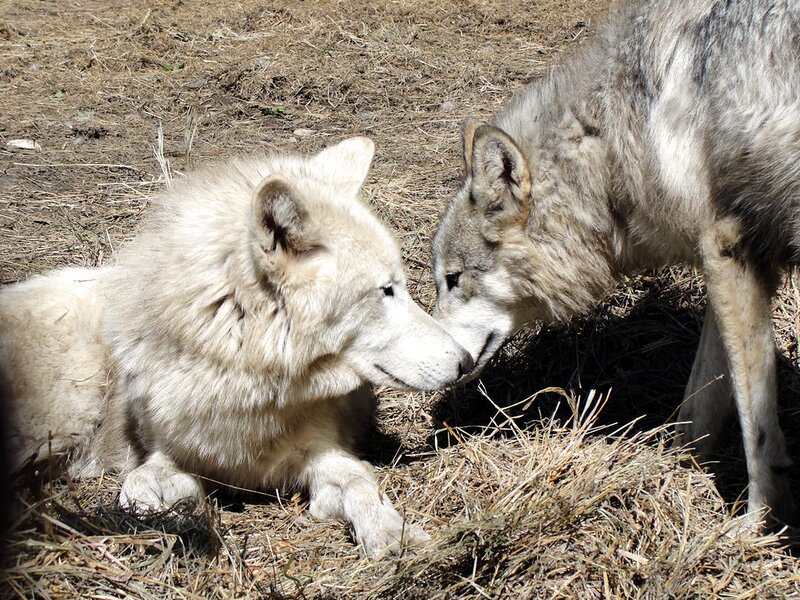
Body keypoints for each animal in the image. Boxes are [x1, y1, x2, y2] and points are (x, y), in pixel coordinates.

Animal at [1, 137, 474, 556]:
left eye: (400, 285)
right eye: (385, 290)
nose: (466, 360)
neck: (248, 377)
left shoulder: (324, 451)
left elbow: (359, 483)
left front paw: (392, 534)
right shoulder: (167, 454)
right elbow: (135, 490)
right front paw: (183, 518)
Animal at [432, 0, 800, 527]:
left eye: (452, 279)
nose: (433, 360)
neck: (623, 122)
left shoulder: (730, 251)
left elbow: (758, 429)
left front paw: (755, 528)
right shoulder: (728, 265)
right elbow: (700, 403)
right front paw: (677, 471)